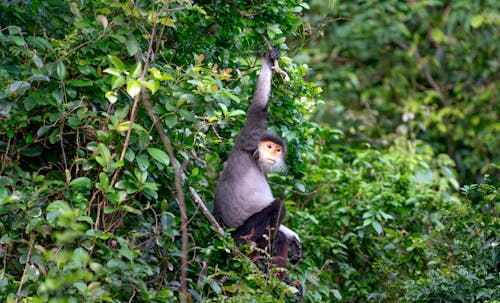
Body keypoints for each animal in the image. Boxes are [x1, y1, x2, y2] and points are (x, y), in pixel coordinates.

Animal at [214, 47, 300, 268]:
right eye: (268, 146)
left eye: (277, 150)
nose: (272, 154)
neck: (254, 157)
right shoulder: (249, 137)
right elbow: (258, 107)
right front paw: (269, 59)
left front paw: (294, 238)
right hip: (243, 233)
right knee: (278, 207)